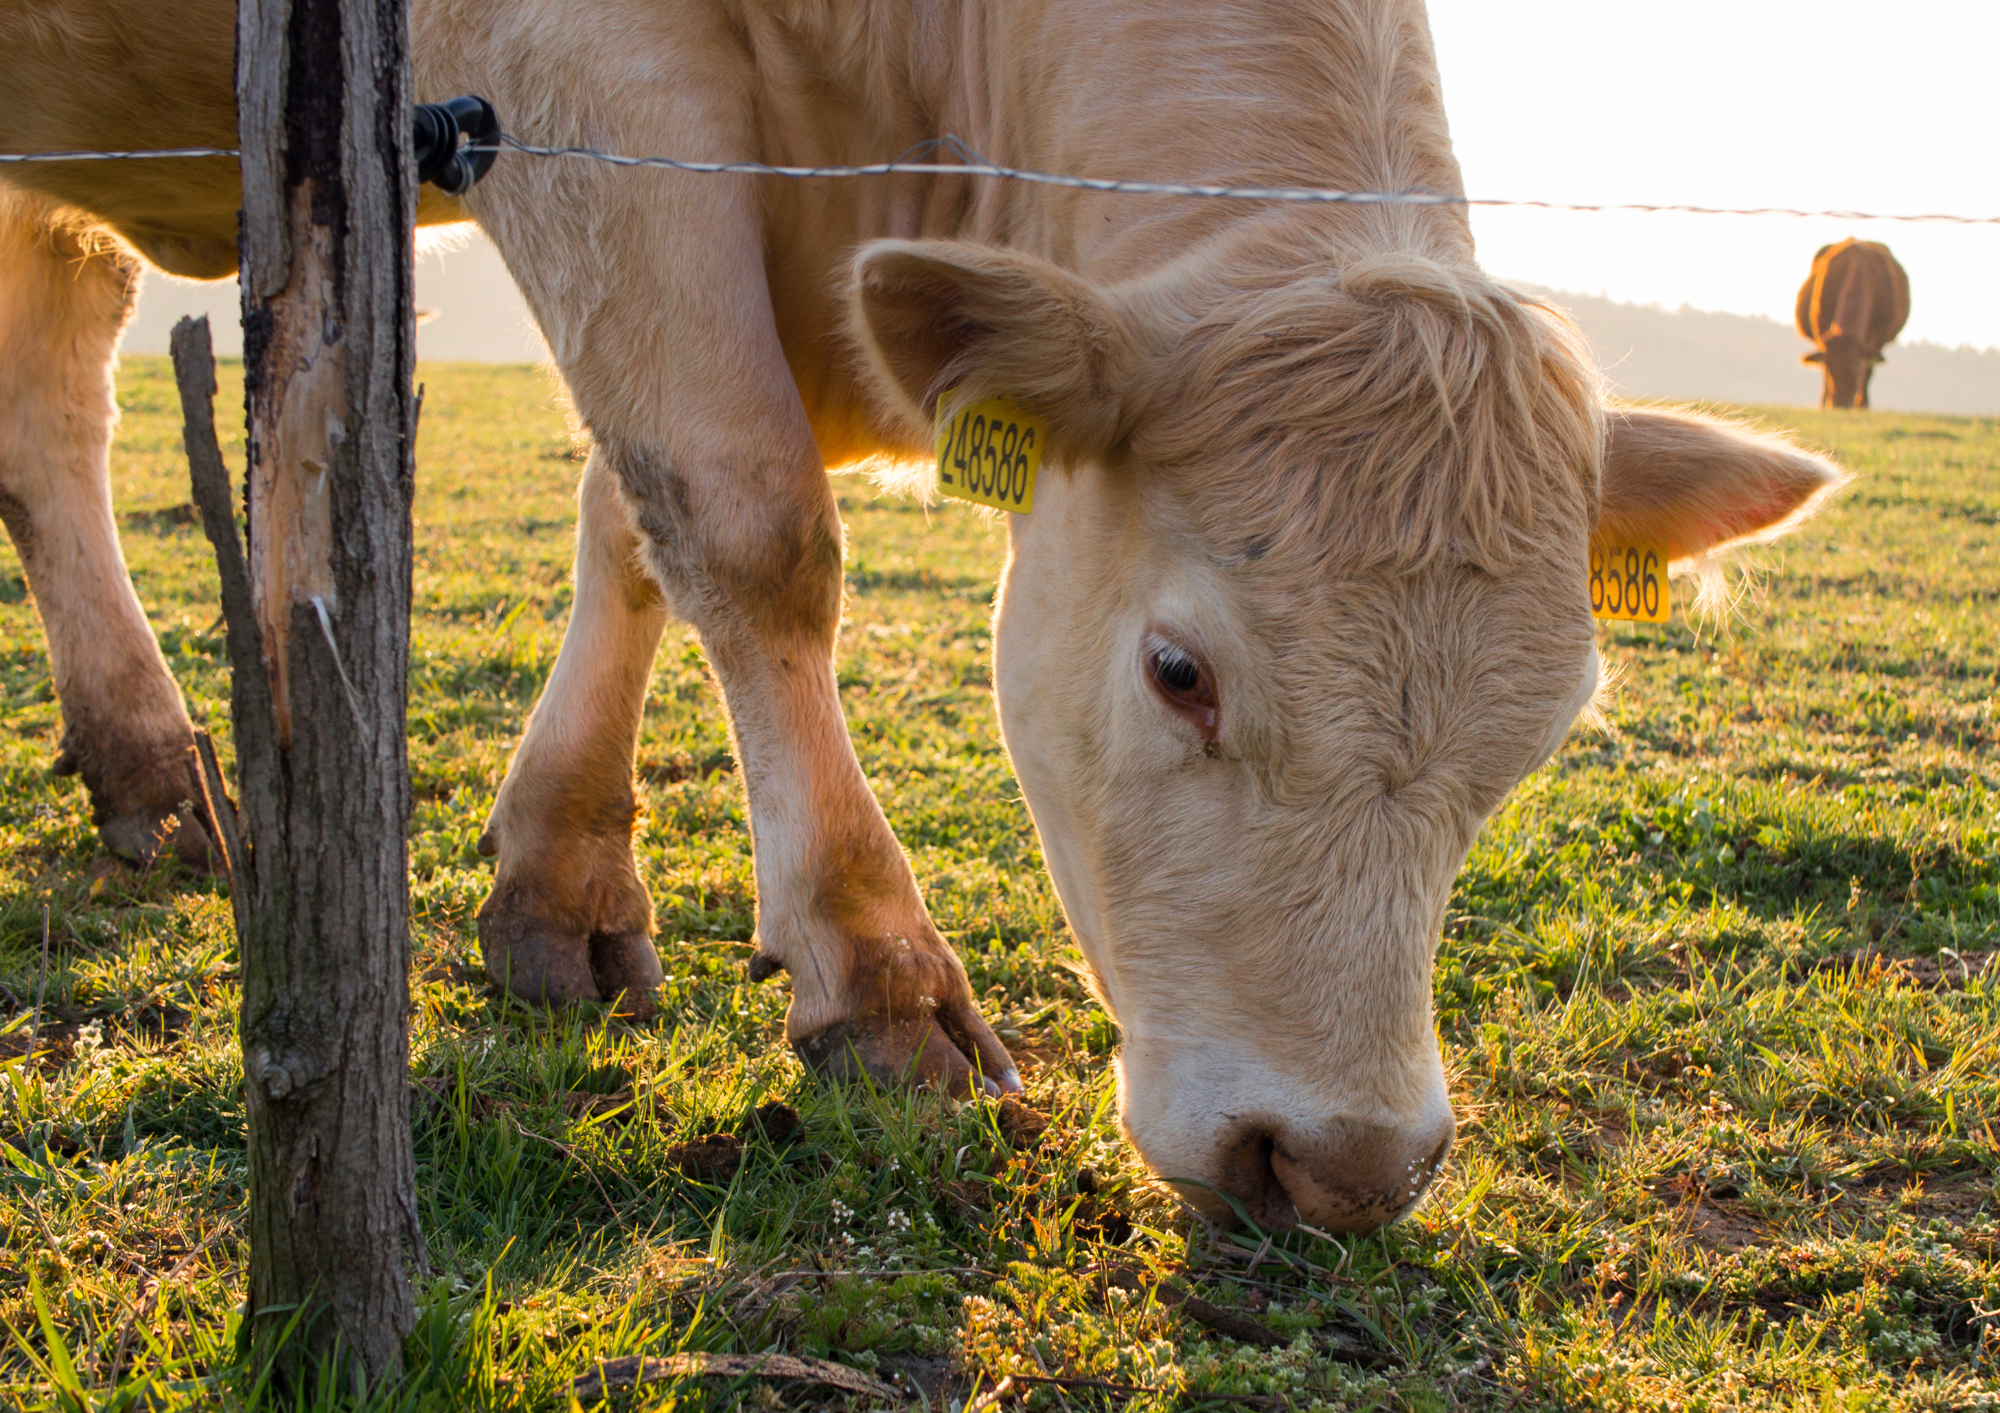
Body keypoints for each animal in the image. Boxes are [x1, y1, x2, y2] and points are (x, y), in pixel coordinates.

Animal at [3, 0, 1840, 1224]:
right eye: (1180, 671)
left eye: (1537, 741)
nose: (1341, 1162)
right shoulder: (578, 76)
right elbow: (739, 516)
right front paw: (874, 974)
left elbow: (630, 514)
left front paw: (560, 875)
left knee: (54, 399)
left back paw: (152, 761)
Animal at [1800, 236, 1904, 408]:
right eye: (1829, 367)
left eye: (1855, 368)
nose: (1840, 405)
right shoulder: (1820, 325)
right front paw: (1822, 403)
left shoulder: (1878, 337)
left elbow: (1867, 371)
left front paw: (1862, 406)